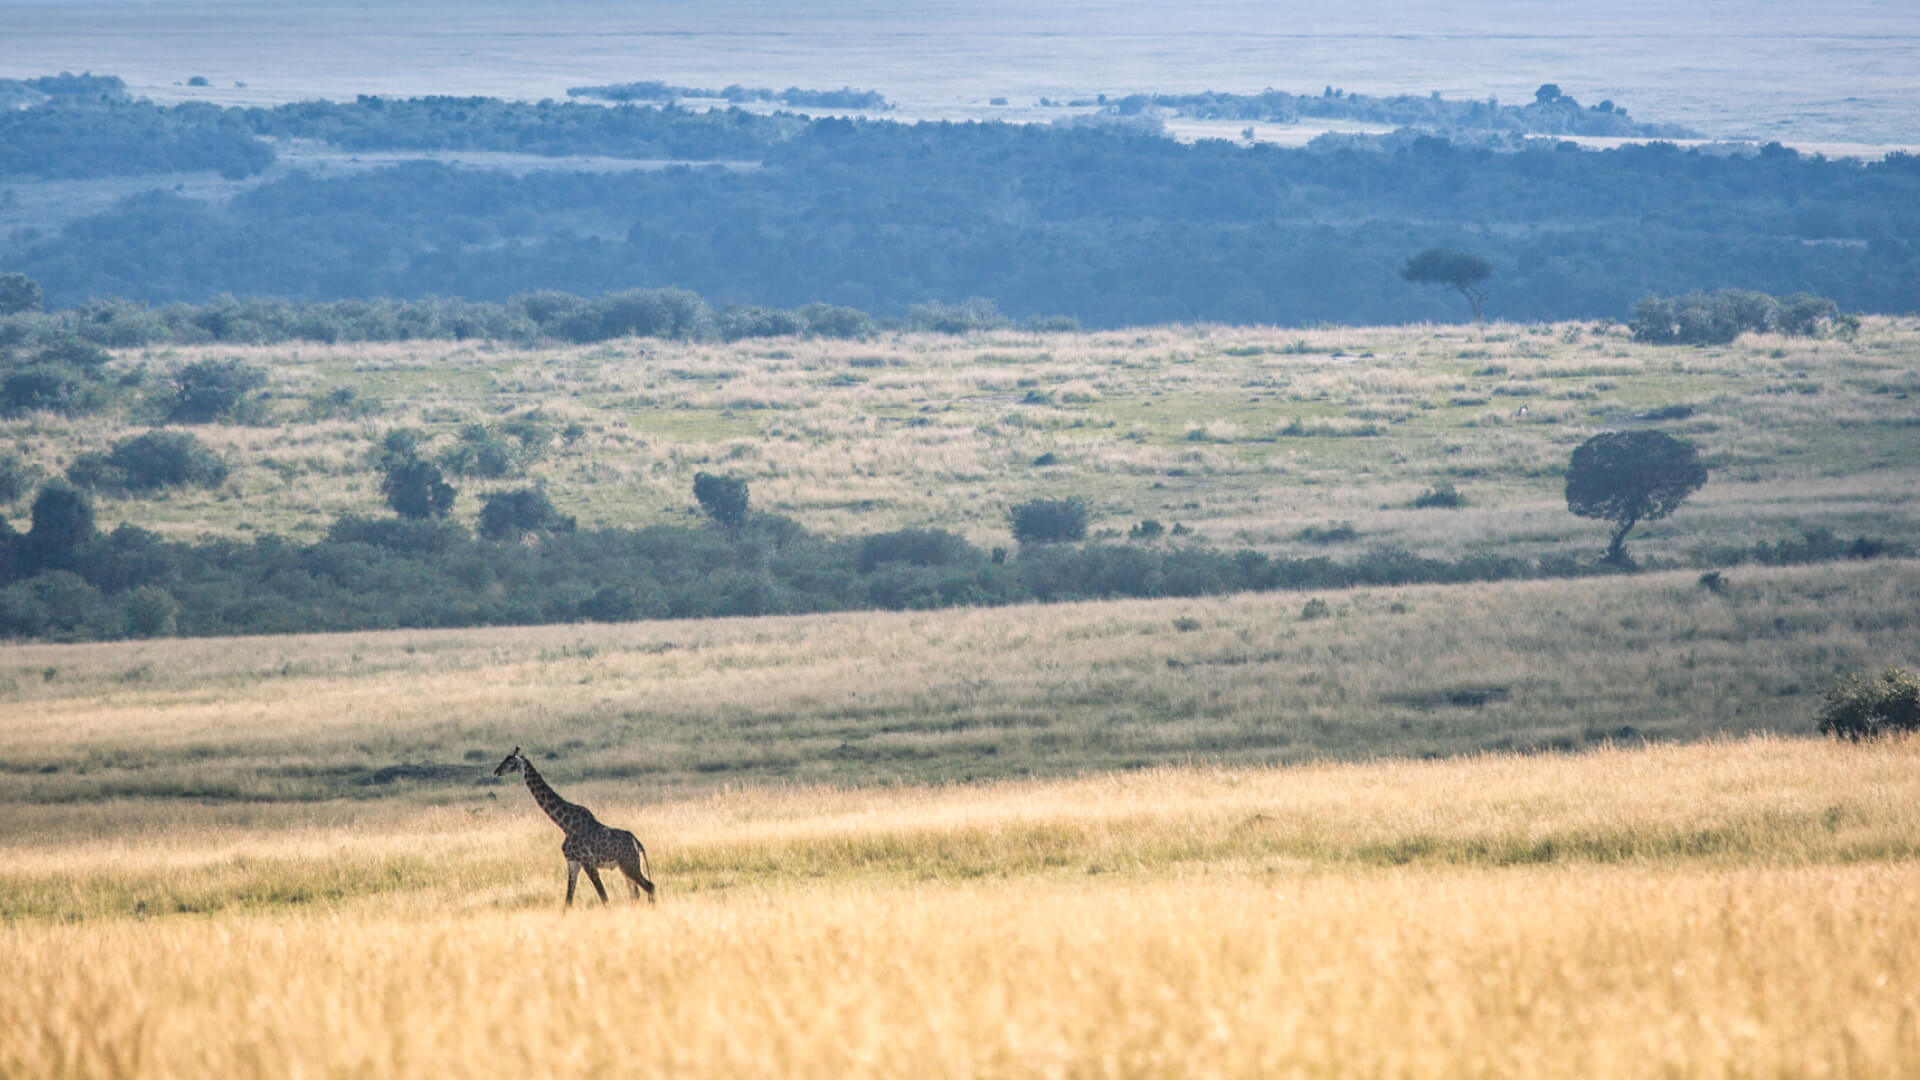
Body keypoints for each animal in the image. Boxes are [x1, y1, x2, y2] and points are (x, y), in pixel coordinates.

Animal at [493, 747, 656, 906]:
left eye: (510, 762)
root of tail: (638, 844)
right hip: (626, 868)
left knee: (650, 887)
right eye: (504, 759)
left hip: (629, 865)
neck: (565, 824)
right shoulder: (573, 862)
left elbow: (604, 898)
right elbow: (568, 902)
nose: (496, 771)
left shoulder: (587, 862)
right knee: (635, 894)